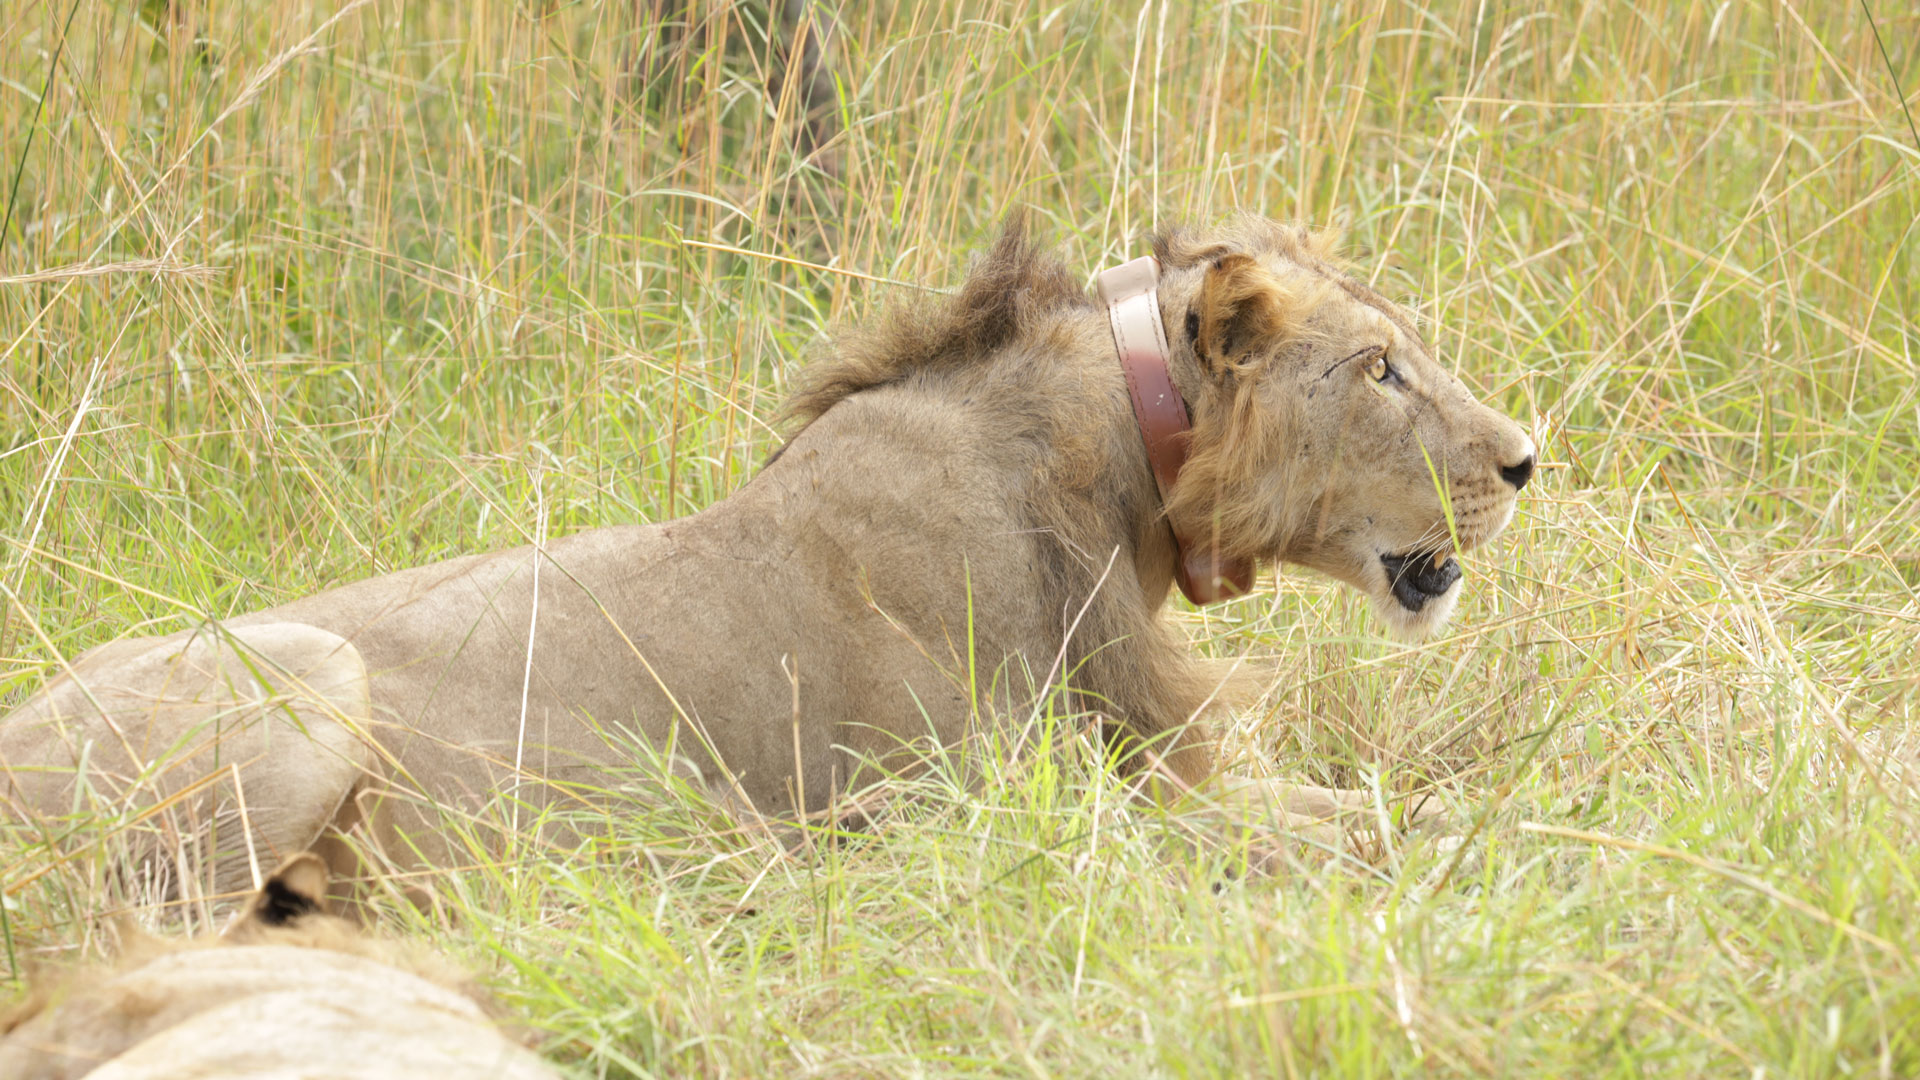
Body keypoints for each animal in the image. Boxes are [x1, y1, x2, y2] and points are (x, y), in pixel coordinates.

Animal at [0, 215, 1534, 892]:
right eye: (1383, 368)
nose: (1529, 461)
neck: (1121, 493)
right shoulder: (967, 820)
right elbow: (1332, 827)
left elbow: (1371, 801)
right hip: (307, 685)